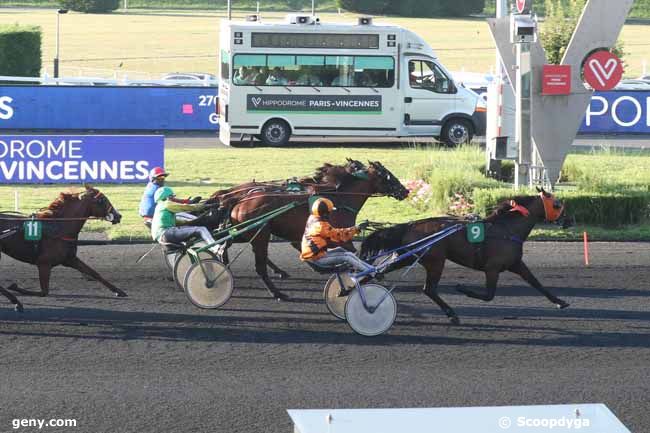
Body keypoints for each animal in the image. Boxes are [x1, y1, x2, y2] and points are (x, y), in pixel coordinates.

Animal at [214, 159, 404, 300]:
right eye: (387, 175)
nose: (405, 191)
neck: (339, 199)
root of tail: (237, 200)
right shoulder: (338, 236)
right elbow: (353, 253)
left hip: (248, 232)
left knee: (228, 246)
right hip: (260, 234)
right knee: (259, 266)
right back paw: (277, 293)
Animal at [360, 189, 568, 324]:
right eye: (557, 204)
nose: (568, 221)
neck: (507, 229)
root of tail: (410, 225)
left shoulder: (516, 263)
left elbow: (536, 283)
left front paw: (560, 302)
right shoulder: (492, 268)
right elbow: (489, 296)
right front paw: (463, 288)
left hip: (407, 257)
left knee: (378, 272)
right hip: (436, 261)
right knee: (429, 289)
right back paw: (451, 313)